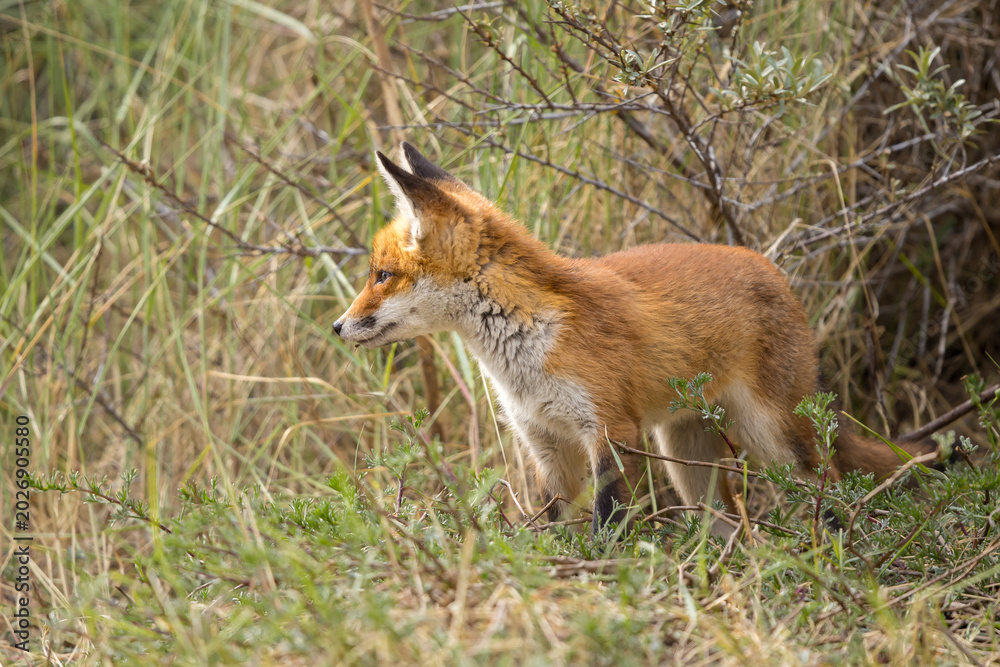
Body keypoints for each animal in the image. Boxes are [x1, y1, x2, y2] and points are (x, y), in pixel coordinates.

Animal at [333, 142, 934, 536]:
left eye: (381, 275)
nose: (338, 327)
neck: (526, 347)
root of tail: (773, 270)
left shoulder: (611, 430)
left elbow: (607, 524)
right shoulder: (545, 445)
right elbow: (552, 523)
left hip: (774, 437)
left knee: (829, 488)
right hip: (686, 456)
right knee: (722, 527)